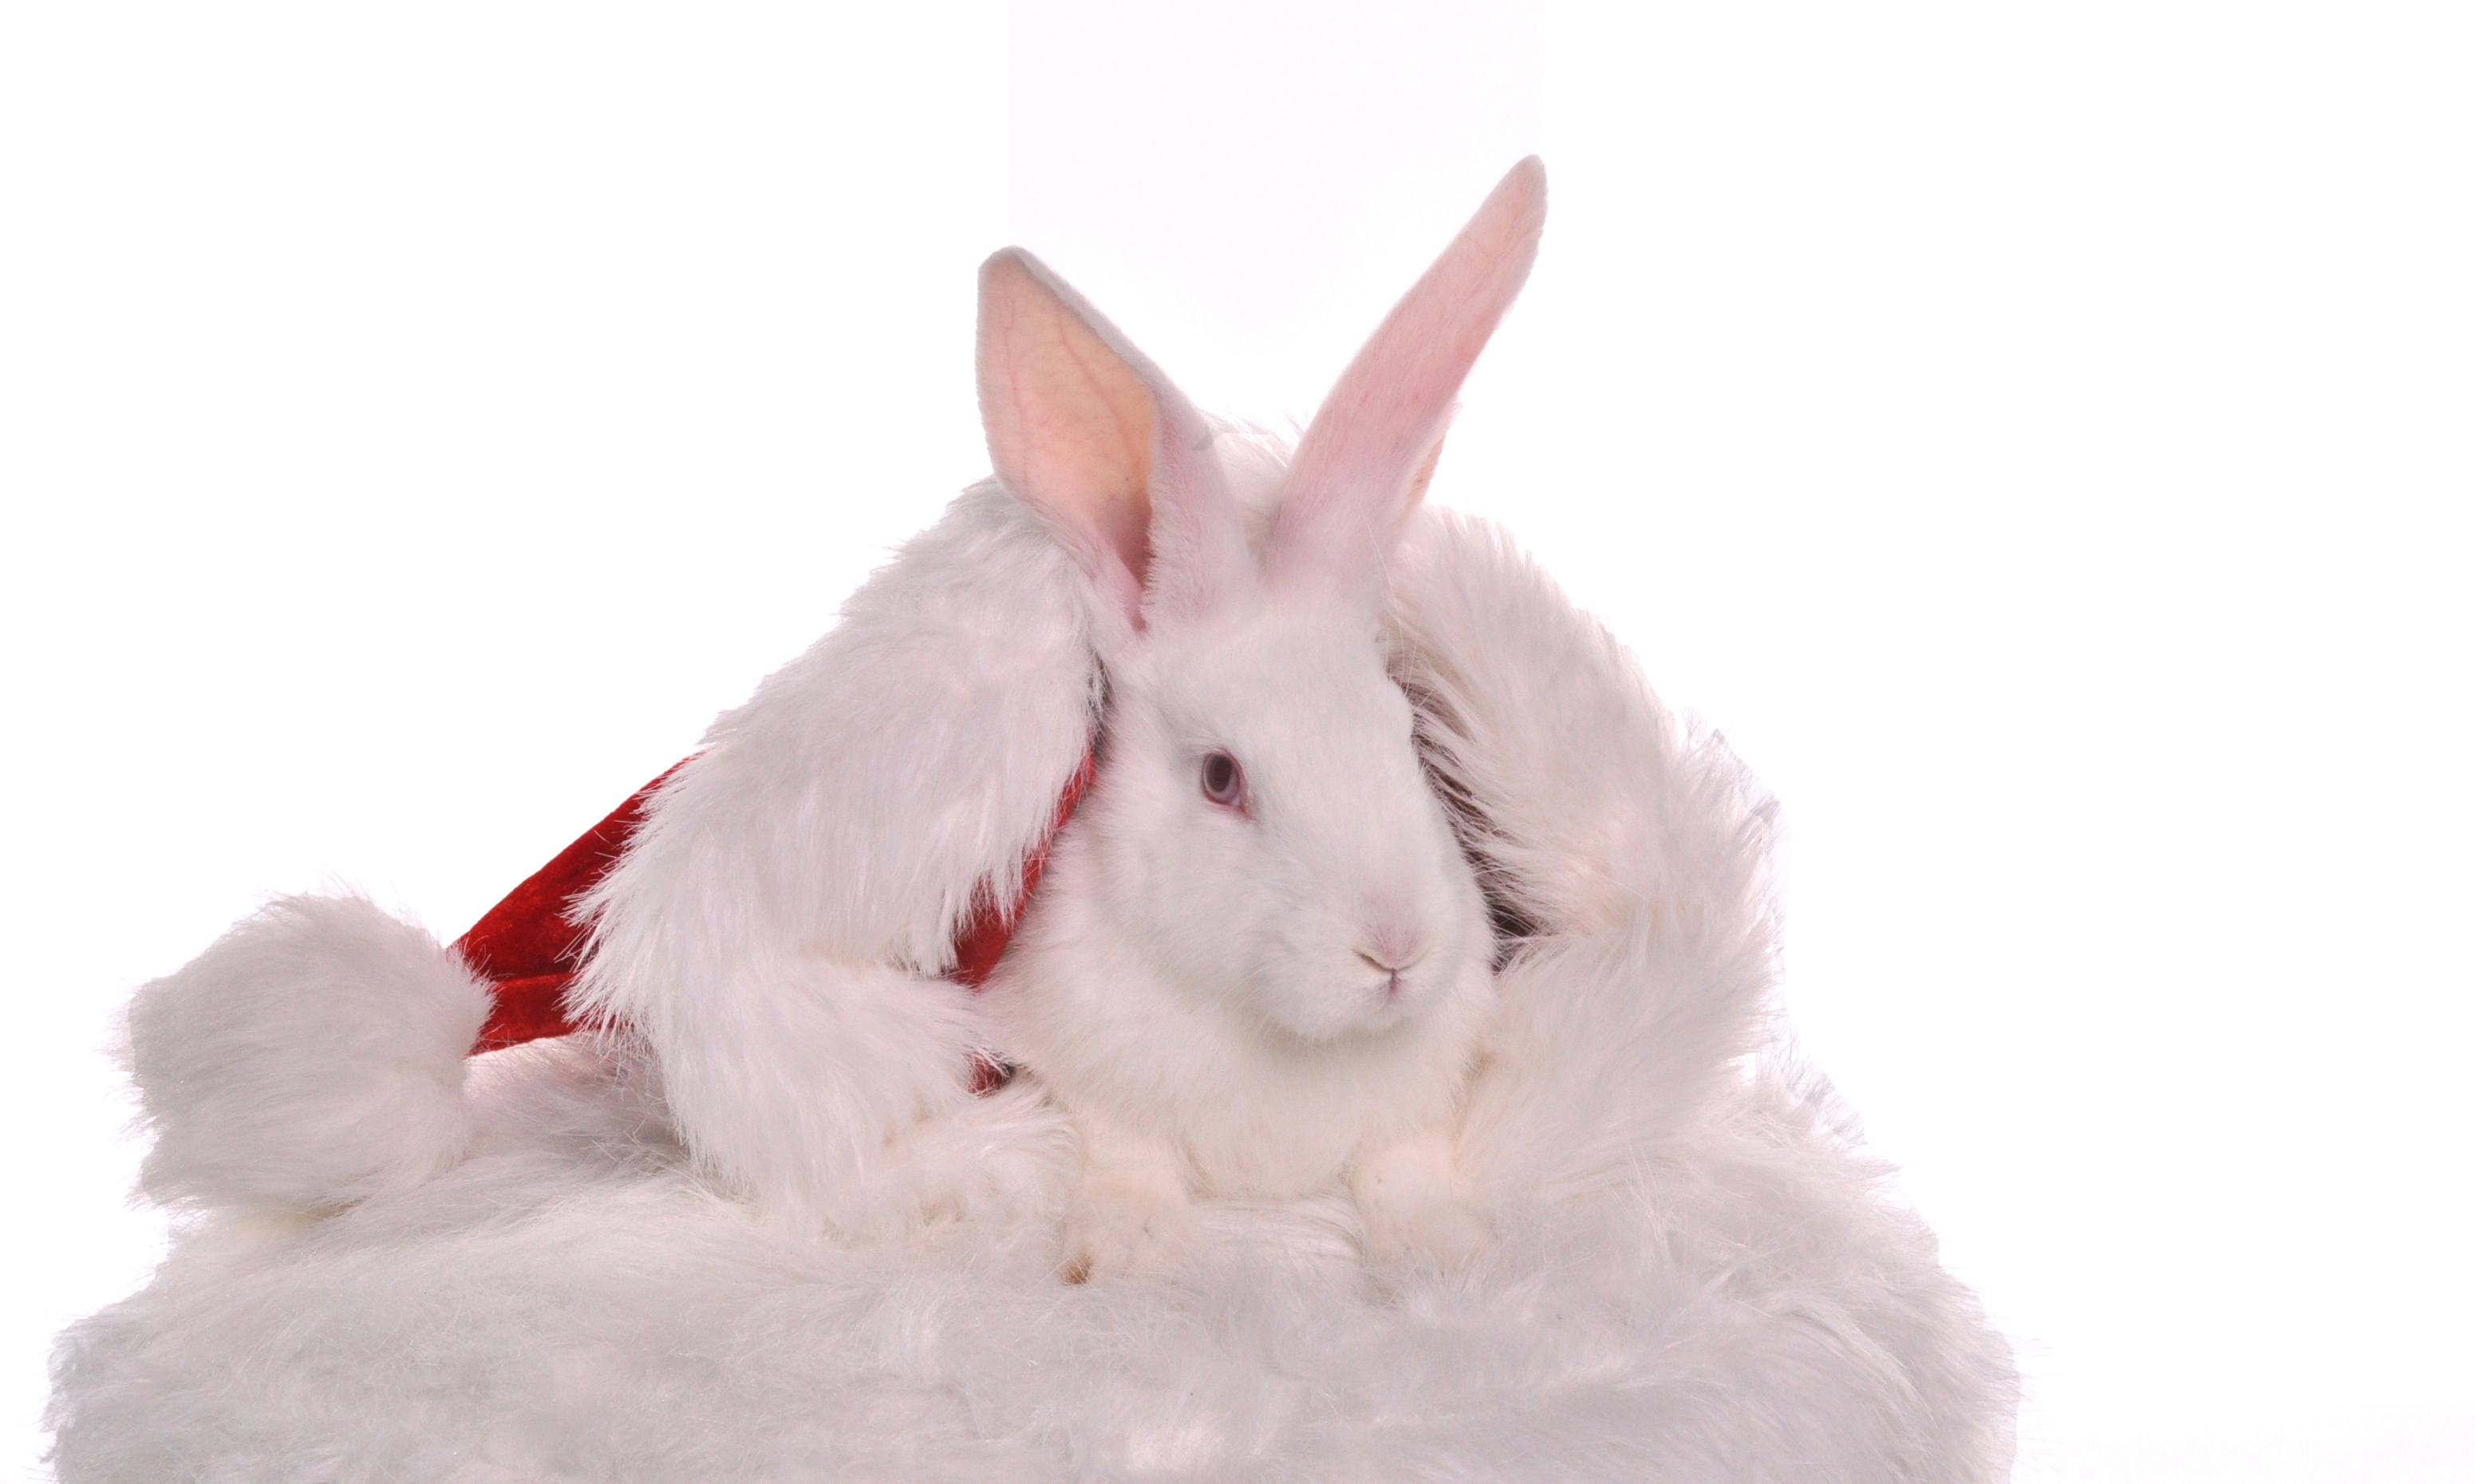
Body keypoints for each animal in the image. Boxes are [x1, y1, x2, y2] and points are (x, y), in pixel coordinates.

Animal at [978, 159, 1548, 1279]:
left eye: (1406, 735)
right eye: (1220, 778)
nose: (1395, 951)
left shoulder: (1415, 1104)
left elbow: (1405, 1163)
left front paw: (1446, 1248)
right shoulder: (1074, 1061)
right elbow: (1124, 1149)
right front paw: (1127, 1248)